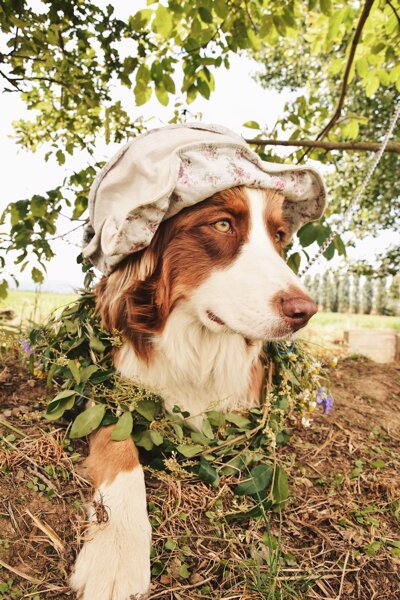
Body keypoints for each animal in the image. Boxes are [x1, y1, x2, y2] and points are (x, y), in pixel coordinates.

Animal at [70, 184, 317, 600]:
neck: (197, 345)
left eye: (279, 235)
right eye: (222, 224)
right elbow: (119, 450)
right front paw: (116, 550)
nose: (307, 311)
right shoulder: (108, 390)